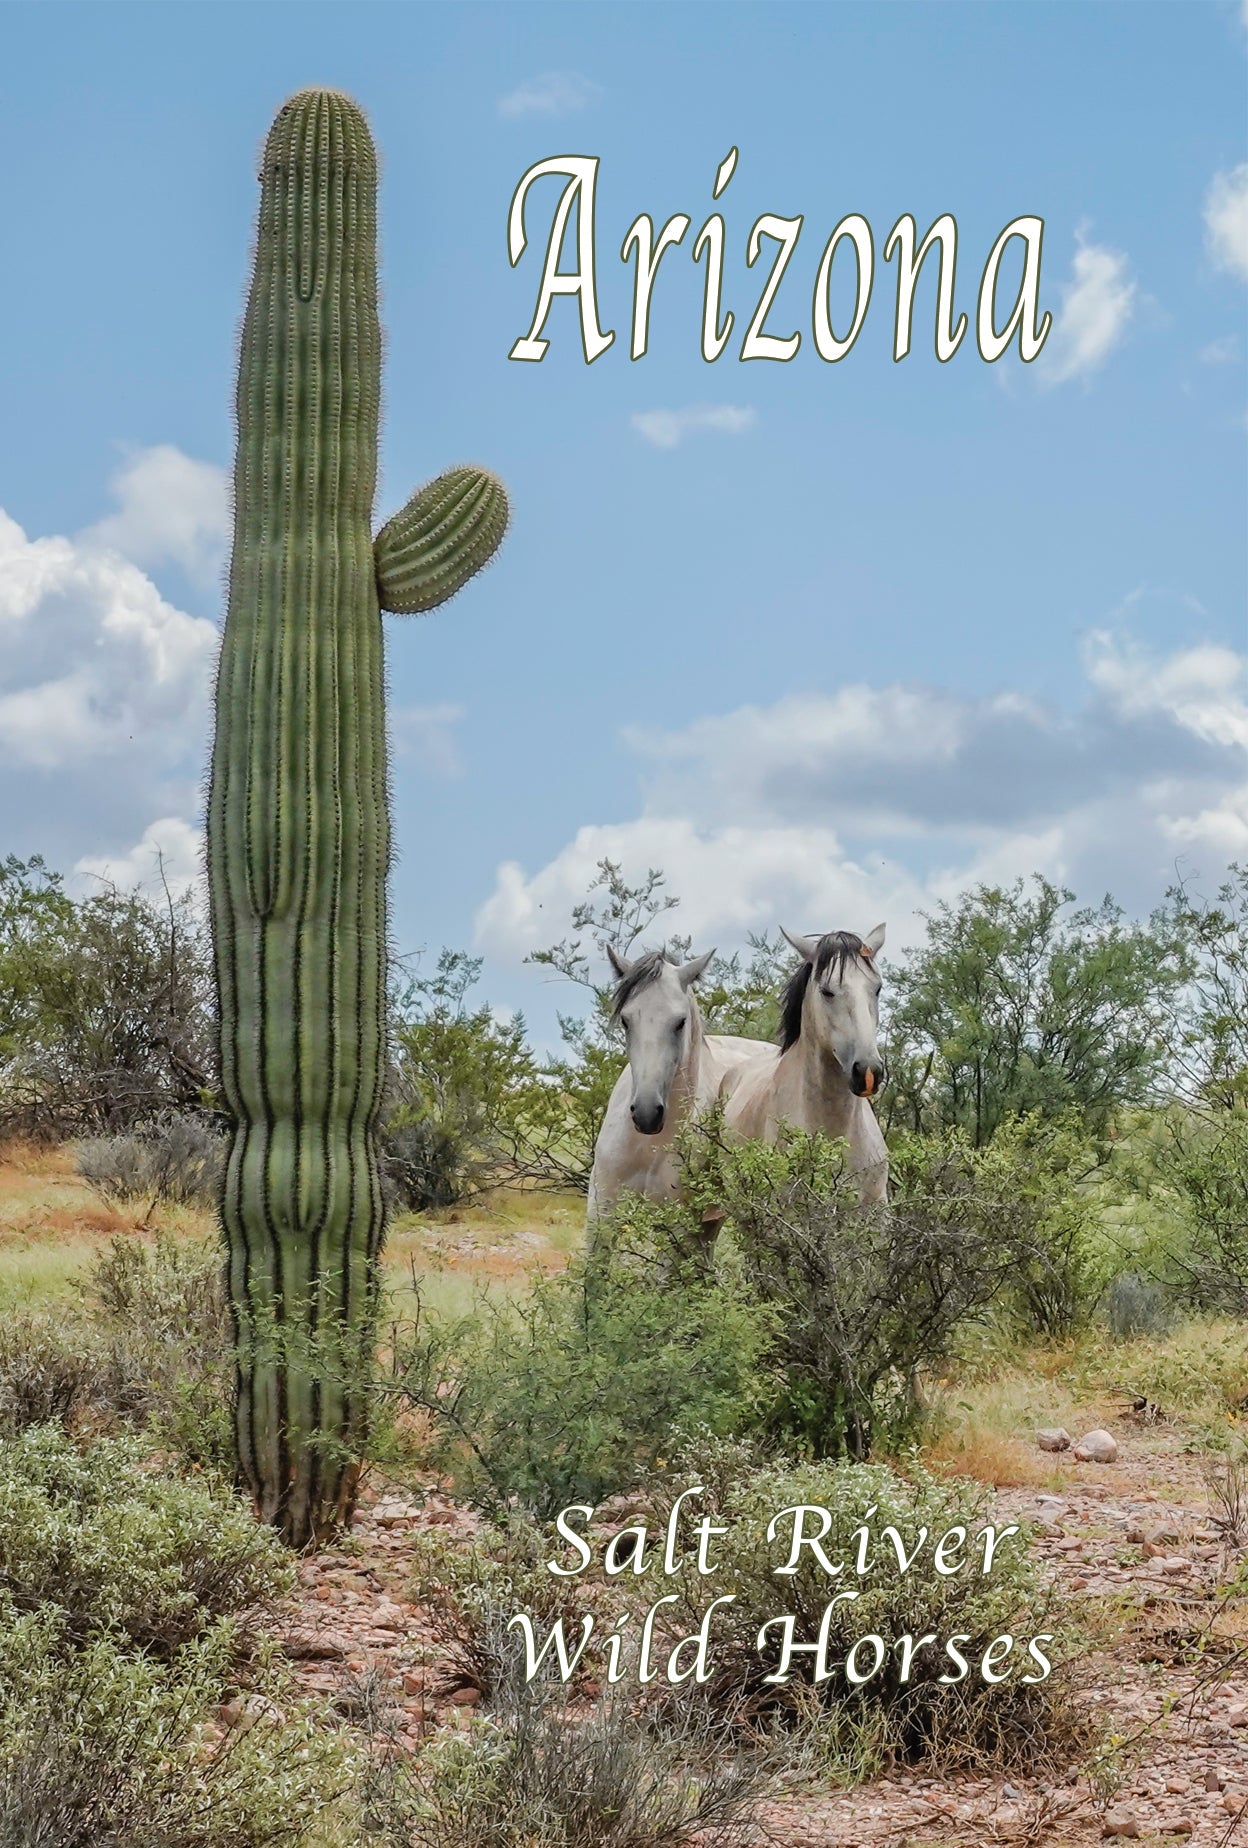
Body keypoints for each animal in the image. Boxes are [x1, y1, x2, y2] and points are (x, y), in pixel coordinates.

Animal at [585, 945, 774, 1235]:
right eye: (626, 1021)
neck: (645, 1147)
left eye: (680, 1022)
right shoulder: (601, 1214)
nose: (647, 1114)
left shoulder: (681, 1226)